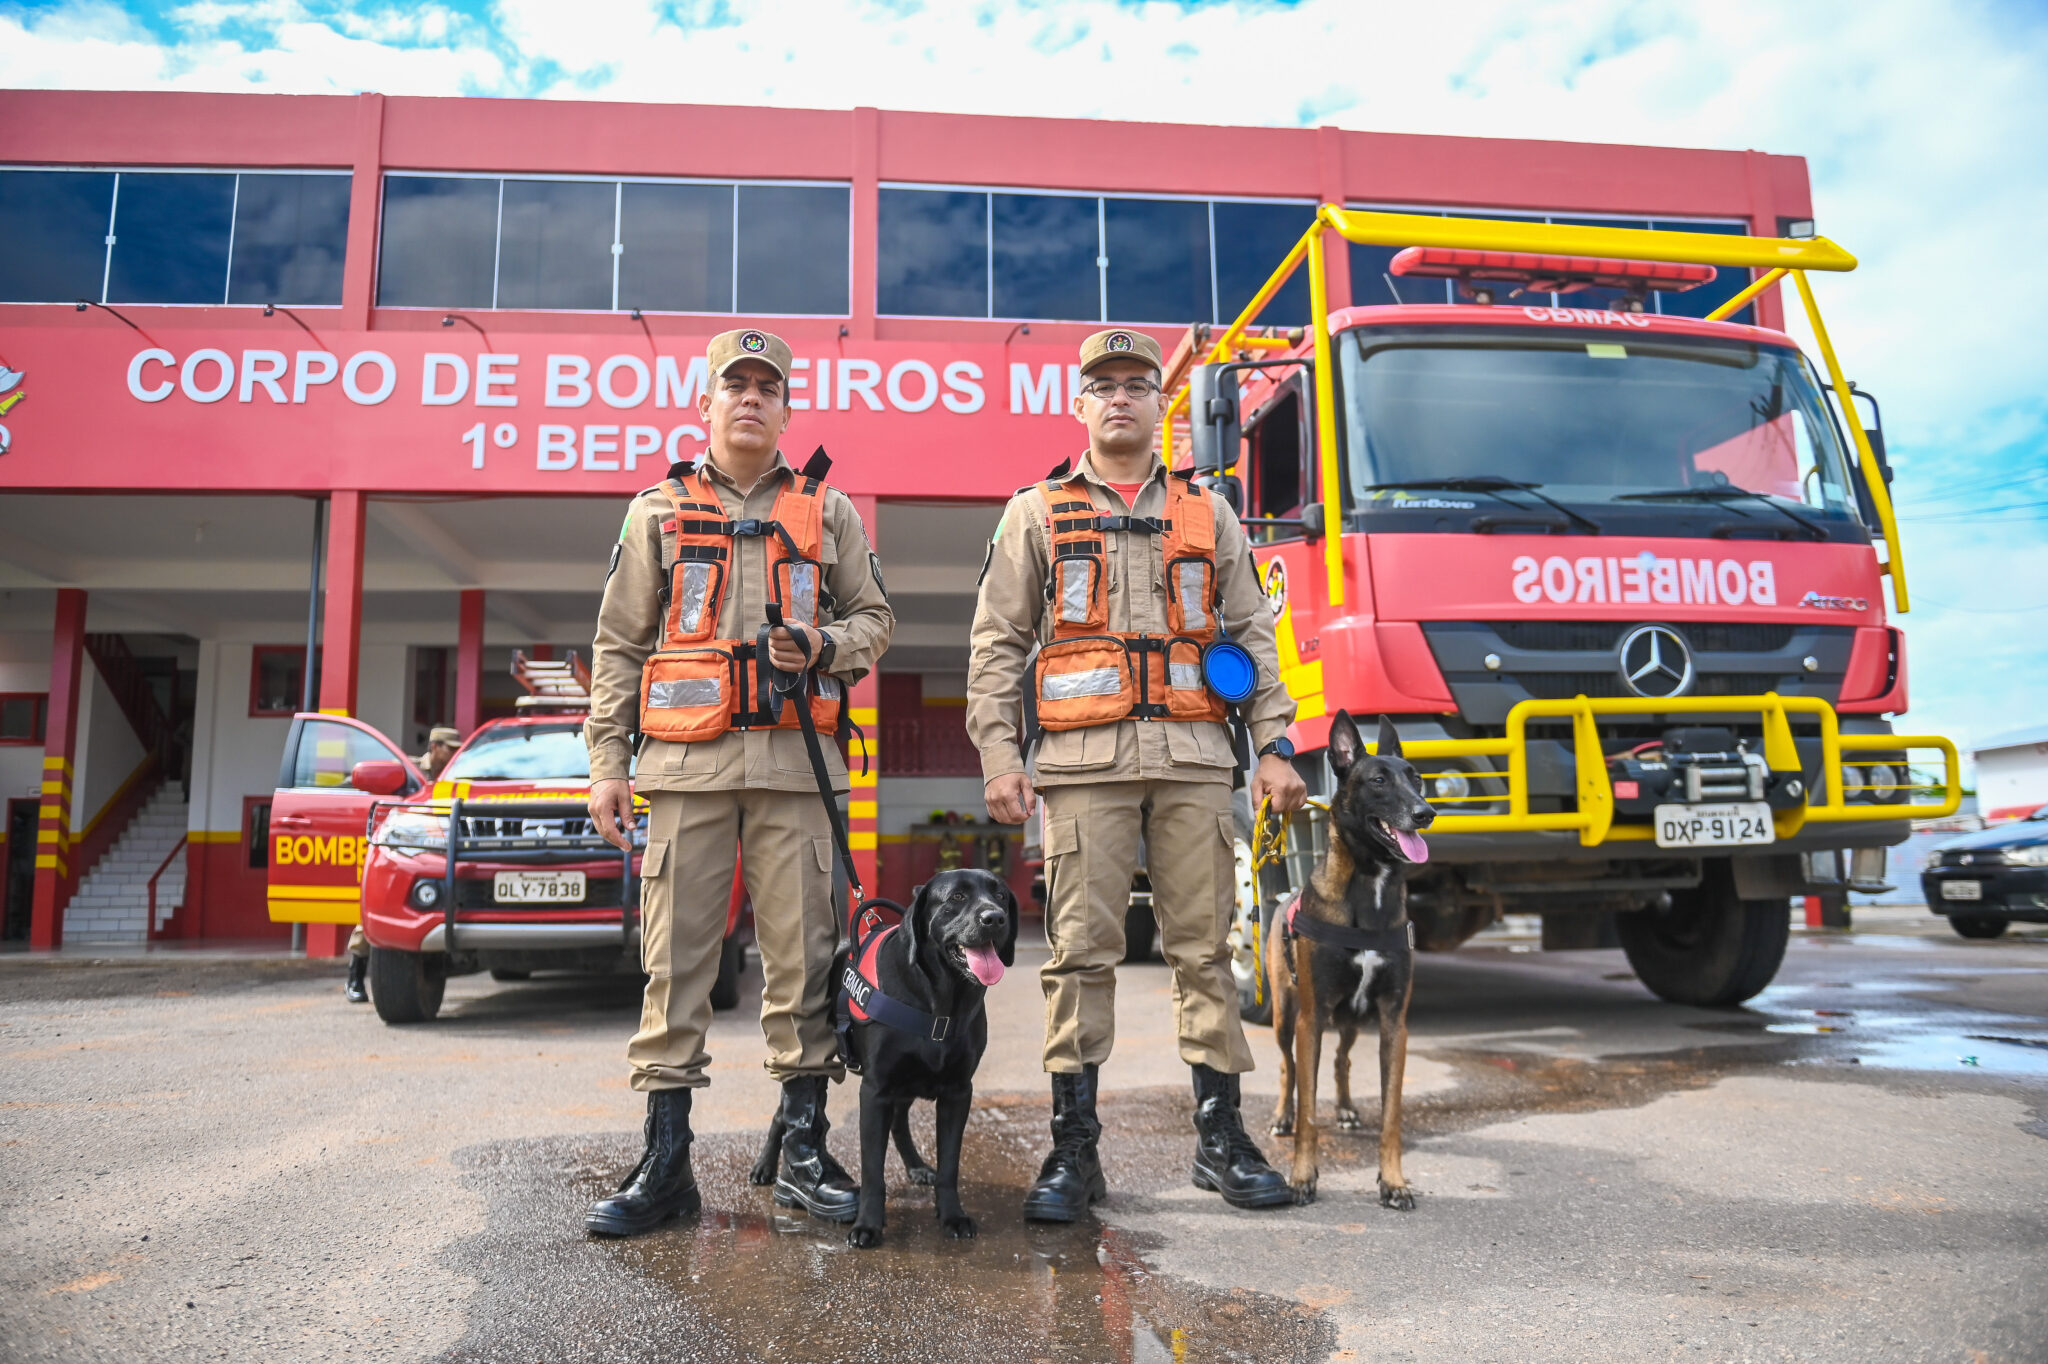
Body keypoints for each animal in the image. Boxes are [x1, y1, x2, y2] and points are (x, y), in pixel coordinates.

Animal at [1261, 704, 1441, 1204]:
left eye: (1417, 778)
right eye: (1378, 780)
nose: (1426, 813)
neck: (1370, 885)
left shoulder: (1393, 1022)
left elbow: (1392, 1114)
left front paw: (1393, 1181)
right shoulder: (1311, 1018)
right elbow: (1307, 1110)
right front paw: (1302, 1176)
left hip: (1352, 1019)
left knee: (1341, 1060)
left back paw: (1344, 1108)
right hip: (1287, 1016)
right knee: (1286, 1068)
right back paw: (1281, 1115)